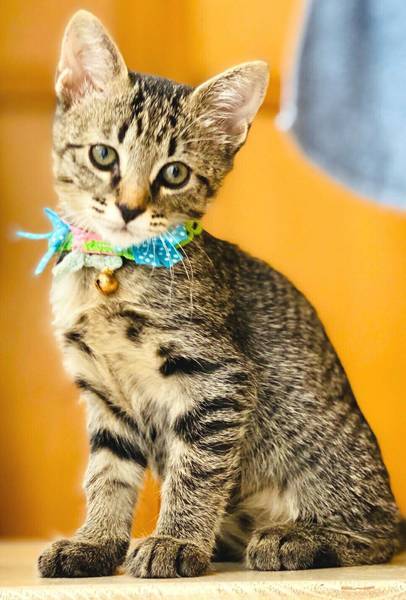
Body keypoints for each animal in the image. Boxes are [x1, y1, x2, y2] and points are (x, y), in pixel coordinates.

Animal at [37, 10, 402, 578]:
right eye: (102, 155)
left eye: (175, 173)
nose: (129, 208)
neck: (112, 274)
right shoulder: (103, 393)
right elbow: (107, 475)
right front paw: (94, 543)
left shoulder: (218, 378)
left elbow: (197, 470)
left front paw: (175, 541)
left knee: (379, 533)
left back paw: (295, 537)